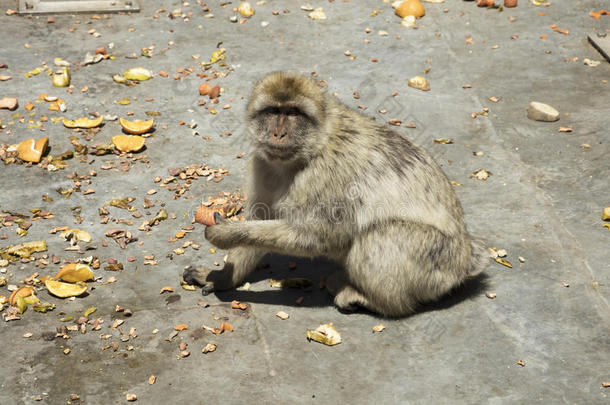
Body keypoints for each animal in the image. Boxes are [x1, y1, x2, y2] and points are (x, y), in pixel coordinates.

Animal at [183, 71, 486, 318]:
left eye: (293, 113)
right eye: (273, 111)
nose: (278, 133)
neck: (310, 148)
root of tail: (465, 260)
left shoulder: (325, 174)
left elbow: (318, 236)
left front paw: (227, 233)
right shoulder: (264, 163)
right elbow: (260, 216)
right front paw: (222, 277)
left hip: (437, 261)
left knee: (379, 235)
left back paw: (375, 301)